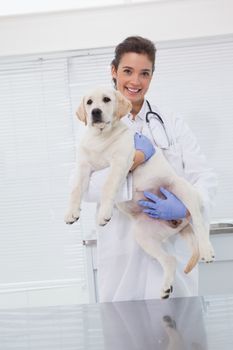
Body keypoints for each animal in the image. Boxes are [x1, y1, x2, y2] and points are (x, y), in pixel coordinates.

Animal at [64, 86, 215, 296]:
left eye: (106, 99)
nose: (95, 112)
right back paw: (166, 288)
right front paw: (71, 213)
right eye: (89, 102)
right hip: (143, 236)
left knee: (200, 223)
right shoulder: (83, 167)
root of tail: (178, 222)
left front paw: (104, 214)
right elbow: (76, 188)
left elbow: (108, 185)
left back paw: (207, 251)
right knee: (170, 259)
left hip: (183, 190)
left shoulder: (121, 161)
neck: (100, 137)